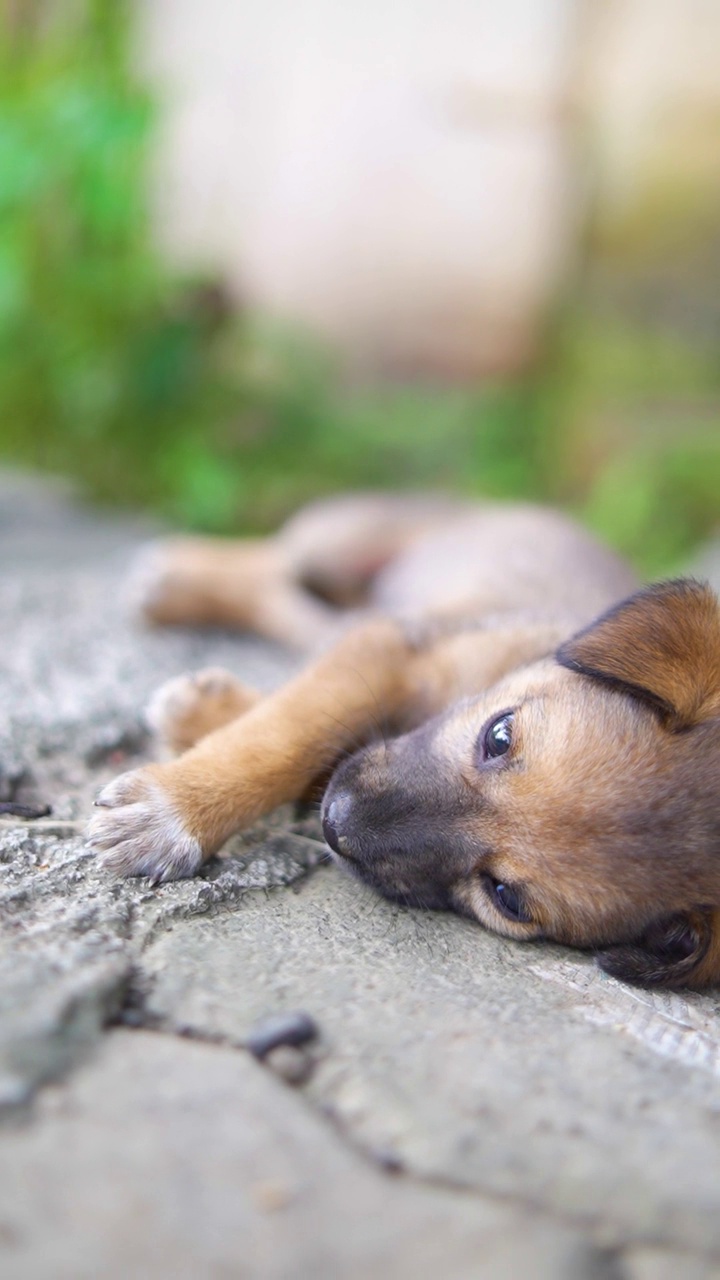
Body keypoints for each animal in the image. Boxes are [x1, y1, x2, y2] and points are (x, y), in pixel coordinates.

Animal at [87, 496, 717, 988]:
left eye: (505, 897)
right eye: (499, 735)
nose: (335, 823)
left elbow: (310, 729)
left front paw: (203, 714)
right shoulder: (396, 649)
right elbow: (289, 732)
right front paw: (175, 809)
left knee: (293, 604)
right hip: (342, 537)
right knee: (280, 560)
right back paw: (177, 575)